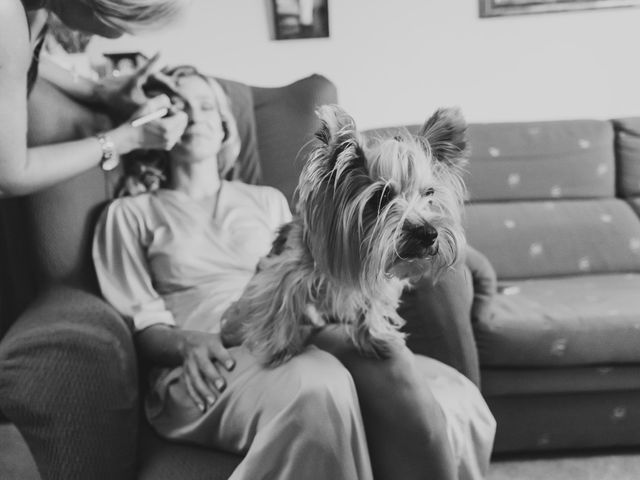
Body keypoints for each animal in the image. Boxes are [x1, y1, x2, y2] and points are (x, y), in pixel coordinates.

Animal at [222, 105, 468, 366]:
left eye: (429, 194)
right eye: (381, 197)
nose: (429, 233)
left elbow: (372, 305)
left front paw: (375, 337)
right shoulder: (281, 272)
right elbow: (278, 304)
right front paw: (278, 348)